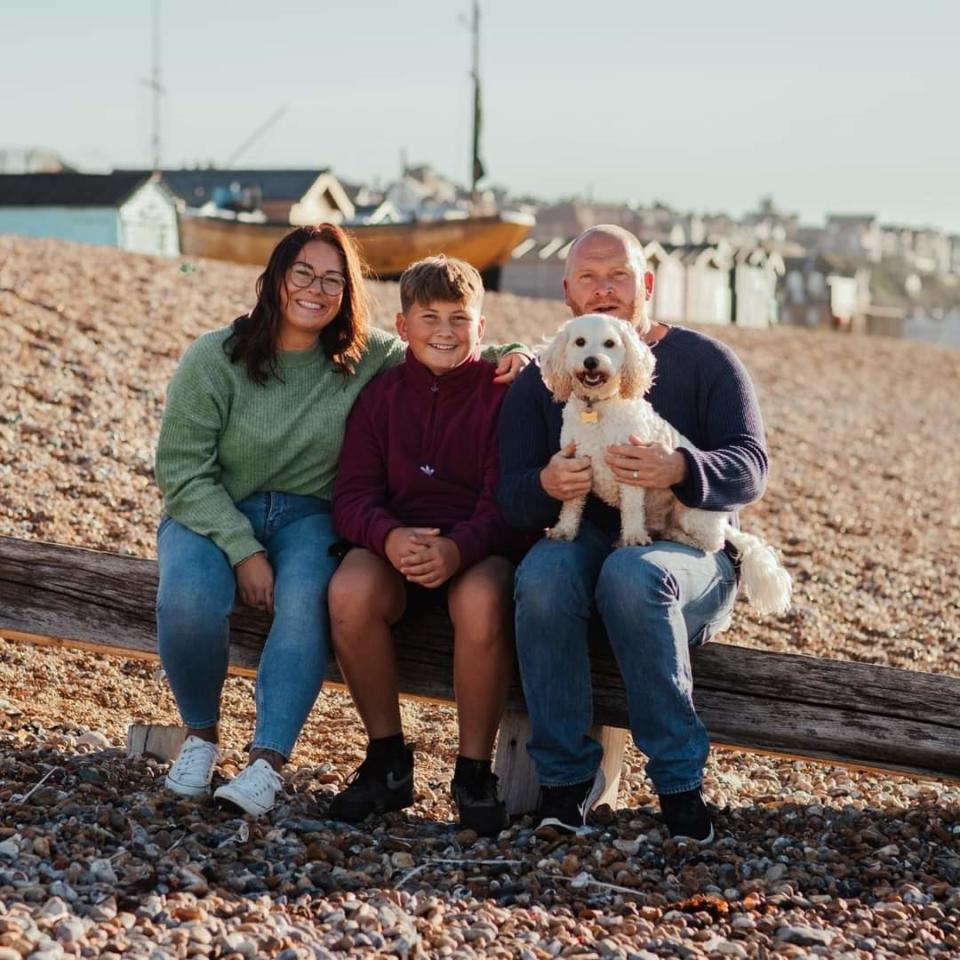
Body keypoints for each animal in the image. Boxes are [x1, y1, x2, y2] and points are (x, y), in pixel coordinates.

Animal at [544, 312, 792, 620]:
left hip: (692, 515)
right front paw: (564, 530)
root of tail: (723, 522)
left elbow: (631, 511)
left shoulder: (631, 471)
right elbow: (571, 506)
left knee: (713, 544)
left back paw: (673, 536)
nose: (591, 361)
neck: (598, 406)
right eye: (579, 342)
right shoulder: (576, 465)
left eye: (609, 343)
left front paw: (634, 537)